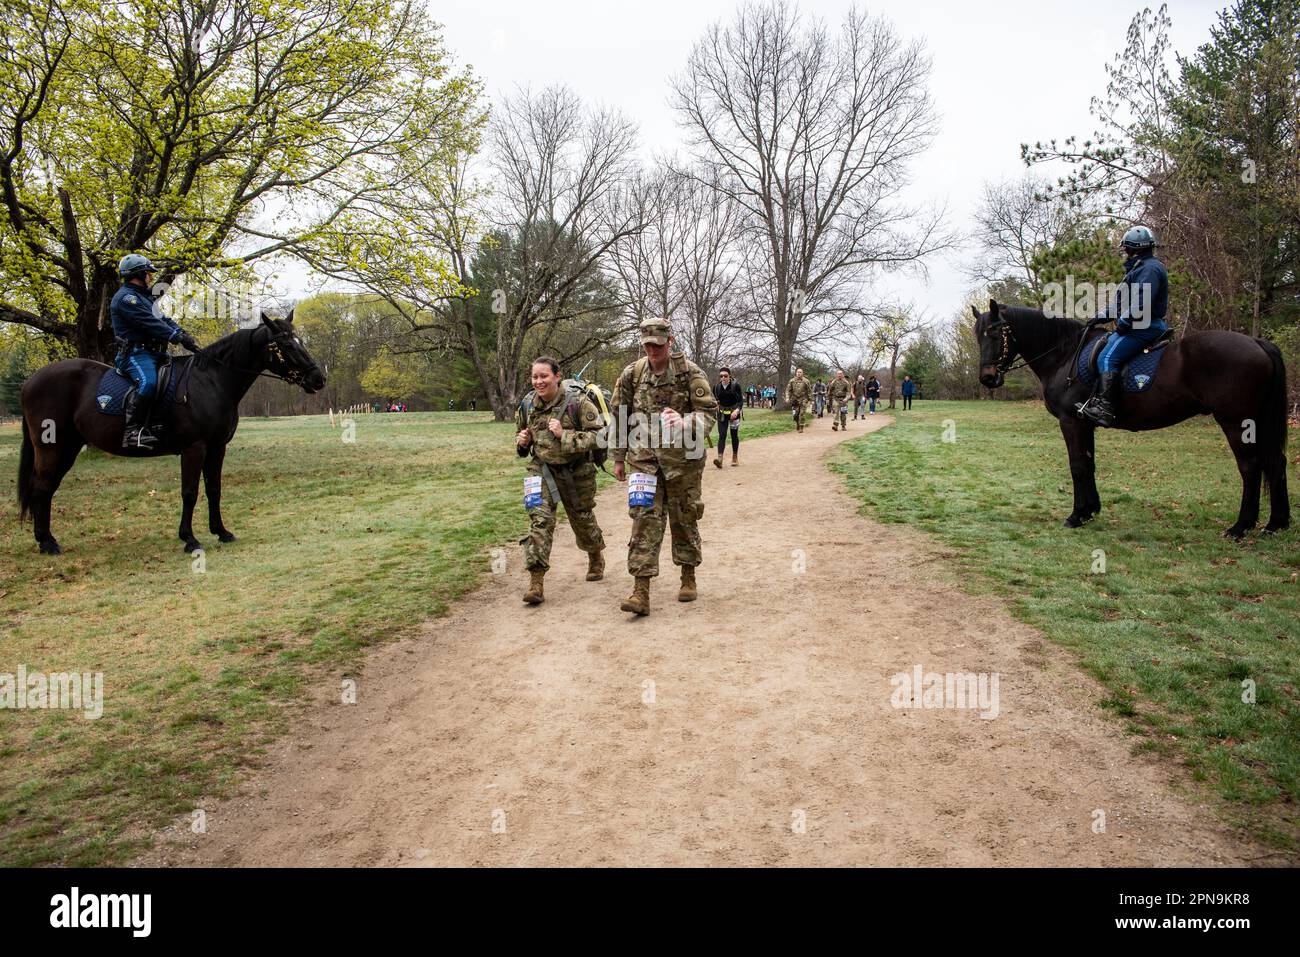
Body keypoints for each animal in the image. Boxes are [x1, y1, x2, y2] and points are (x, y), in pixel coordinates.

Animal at [17, 314, 325, 553]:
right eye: (286, 344)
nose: (318, 379)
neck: (210, 381)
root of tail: (31, 381)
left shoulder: (217, 448)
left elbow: (214, 489)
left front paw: (221, 531)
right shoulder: (194, 448)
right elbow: (190, 492)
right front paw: (189, 538)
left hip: (68, 448)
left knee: (47, 488)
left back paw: (45, 539)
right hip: (52, 447)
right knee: (41, 487)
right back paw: (47, 543)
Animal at [972, 299, 1284, 538]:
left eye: (995, 334)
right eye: (978, 336)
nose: (987, 378)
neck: (1064, 354)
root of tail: (1257, 342)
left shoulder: (1071, 422)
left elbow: (1078, 466)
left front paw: (1076, 515)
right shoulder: (1085, 424)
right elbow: (1089, 464)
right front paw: (1090, 511)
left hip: (1236, 422)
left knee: (1250, 466)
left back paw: (1241, 527)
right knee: (1275, 462)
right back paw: (1275, 525)